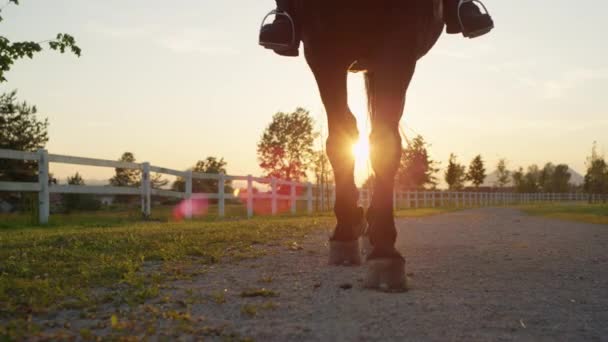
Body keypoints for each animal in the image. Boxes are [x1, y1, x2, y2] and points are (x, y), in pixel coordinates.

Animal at [298, 0, 442, 292]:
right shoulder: (321, 47)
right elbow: (340, 136)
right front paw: (345, 231)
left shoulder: (400, 43)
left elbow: (384, 142)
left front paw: (385, 247)